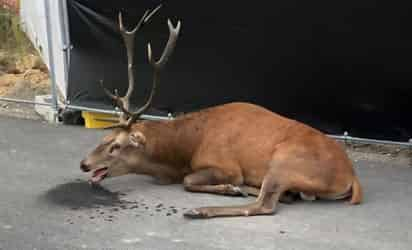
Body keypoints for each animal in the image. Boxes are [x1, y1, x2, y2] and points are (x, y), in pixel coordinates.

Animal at [79, 5, 362, 219]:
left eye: (116, 145)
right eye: (103, 138)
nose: (84, 164)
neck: (184, 151)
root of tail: (351, 176)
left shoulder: (225, 164)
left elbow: (189, 181)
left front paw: (229, 187)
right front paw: (235, 188)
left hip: (285, 159)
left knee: (265, 205)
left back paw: (202, 209)